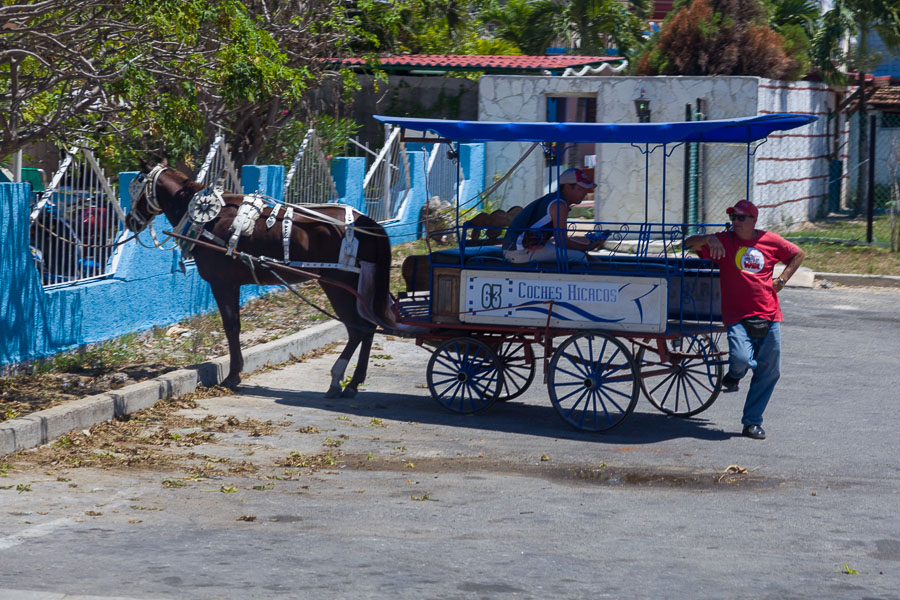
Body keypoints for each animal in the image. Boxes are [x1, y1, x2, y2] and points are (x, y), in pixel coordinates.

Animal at [125, 164, 396, 398]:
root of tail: (369, 225)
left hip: (337, 285)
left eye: (136, 190)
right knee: (368, 327)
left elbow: (231, 327)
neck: (208, 217)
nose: (130, 221)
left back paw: (338, 379)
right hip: (356, 287)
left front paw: (233, 376)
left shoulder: (223, 283)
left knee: (358, 328)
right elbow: (234, 327)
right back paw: (353, 382)